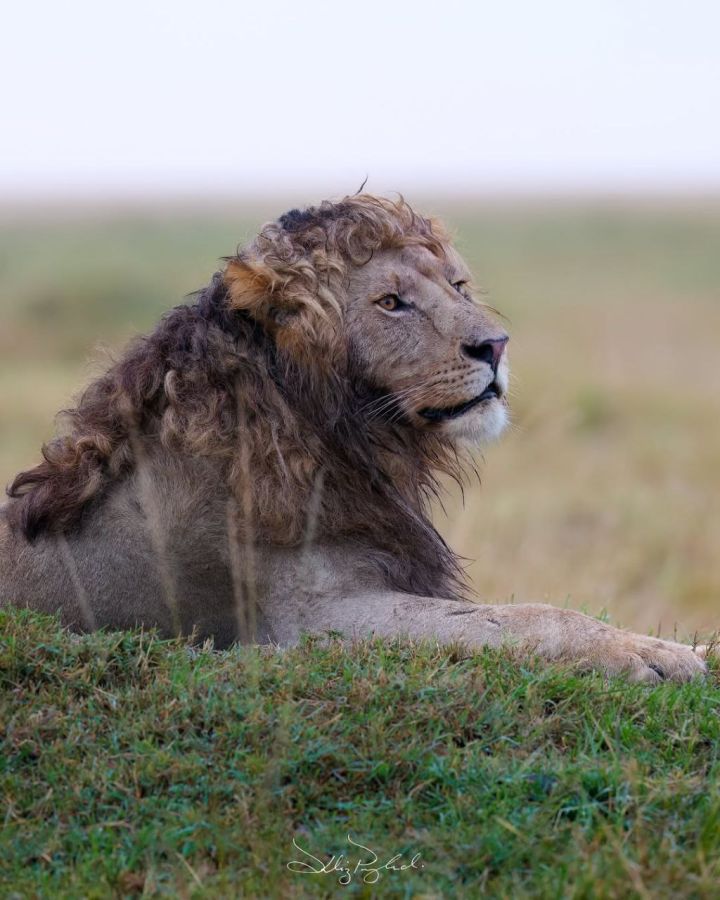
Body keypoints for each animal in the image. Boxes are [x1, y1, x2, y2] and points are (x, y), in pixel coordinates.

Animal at [0, 194, 708, 682]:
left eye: (456, 285)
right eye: (391, 303)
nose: (496, 345)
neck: (344, 433)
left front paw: (688, 644)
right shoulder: (311, 623)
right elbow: (533, 617)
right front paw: (655, 654)